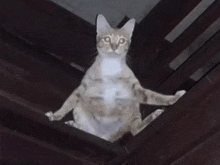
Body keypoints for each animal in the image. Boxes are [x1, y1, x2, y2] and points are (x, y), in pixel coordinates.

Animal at [44, 14, 186, 142]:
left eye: (122, 40)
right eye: (107, 39)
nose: (114, 47)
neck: (111, 67)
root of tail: (104, 137)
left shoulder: (136, 89)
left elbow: (156, 96)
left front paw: (175, 98)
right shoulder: (82, 88)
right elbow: (68, 103)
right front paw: (56, 115)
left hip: (133, 106)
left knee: (135, 129)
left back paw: (154, 115)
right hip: (80, 108)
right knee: (88, 129)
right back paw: (74, 125)